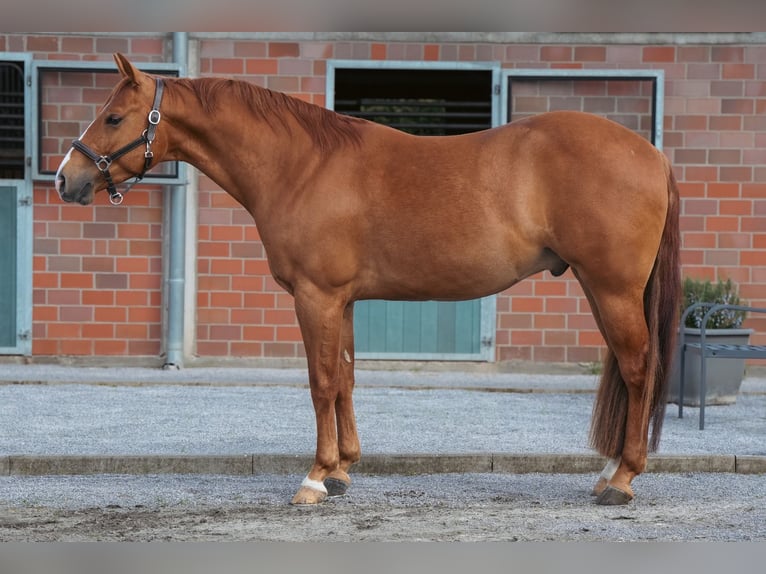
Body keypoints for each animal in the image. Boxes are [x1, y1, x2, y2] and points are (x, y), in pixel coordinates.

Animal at [55, 53, 681, 506]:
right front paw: (342, 471)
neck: (302, 166)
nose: (66, 179)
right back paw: (608, 472)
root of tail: (651, 154)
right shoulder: (345, 301)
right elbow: (347, 379)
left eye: (114, 118)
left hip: (612, 289)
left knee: (638, 369)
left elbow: (321, 382)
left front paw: (313, 480)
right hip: (601, 289)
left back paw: (621, 481)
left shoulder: (316, 298)